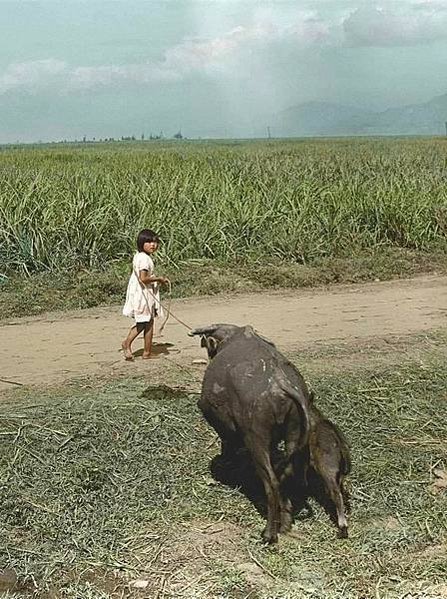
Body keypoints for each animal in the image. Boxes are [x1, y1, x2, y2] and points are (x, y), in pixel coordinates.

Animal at [189, 326, 312, 548]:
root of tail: (280, 384)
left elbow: (227, 441)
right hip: (294, 433)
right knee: (286, 473)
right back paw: (285, 523)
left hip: (256, 438)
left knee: (271, 483)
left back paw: (269, 534)